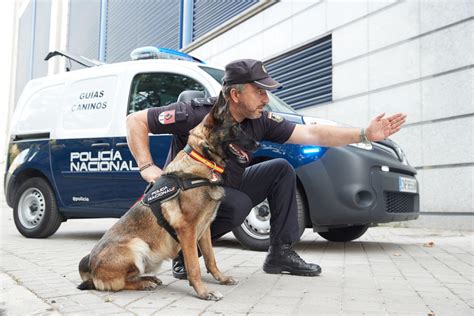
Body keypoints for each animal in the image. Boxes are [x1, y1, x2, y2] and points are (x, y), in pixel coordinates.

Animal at [78, 100, 260, 300]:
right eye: (235, 127)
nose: (258, 143)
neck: (201, 160)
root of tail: (92, 269)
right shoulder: (187, 229)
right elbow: (193, 266)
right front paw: (203, 291)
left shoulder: (205, 229)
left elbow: (210, 258)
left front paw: (221, 278)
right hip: (137, 245)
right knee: (118, 283)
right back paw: (144, 283)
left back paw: (148, 278)